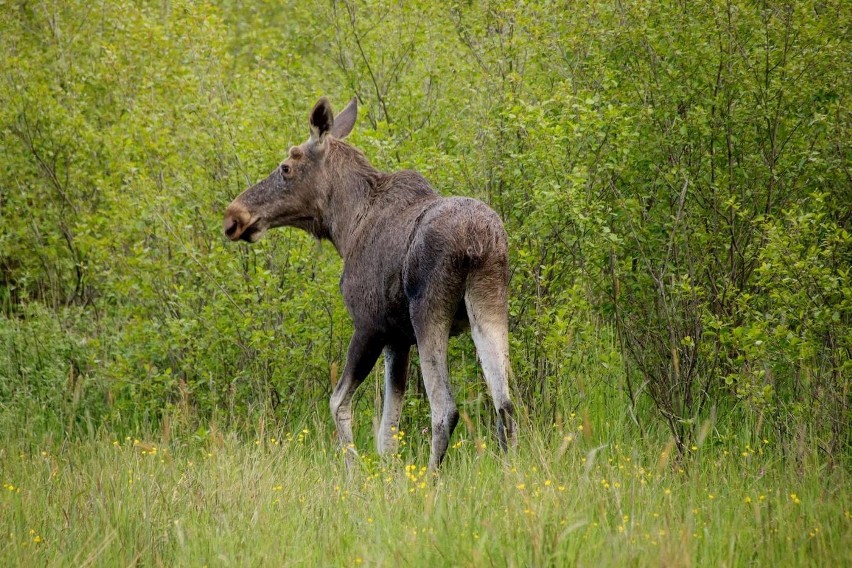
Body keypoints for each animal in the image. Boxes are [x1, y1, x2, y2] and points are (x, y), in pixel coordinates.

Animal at [223, 97, 516, 470]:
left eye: (286, 167)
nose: (234, 216)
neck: (345, 227)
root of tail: (476, 243)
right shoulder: (398, 339)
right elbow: (388, 432)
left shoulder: (370, 326)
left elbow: (338, 403)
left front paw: (354, 471)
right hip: (489, 302)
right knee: (505, 404)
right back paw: (511, 473)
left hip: (429, 313)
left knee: (445, 409)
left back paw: (431, 478)